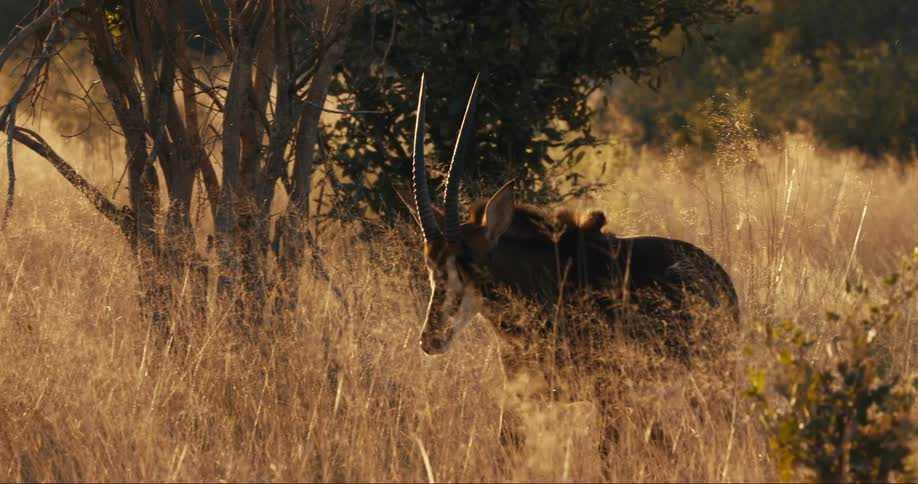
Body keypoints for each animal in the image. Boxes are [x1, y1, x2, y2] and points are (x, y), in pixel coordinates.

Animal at [404, 73, 739, 458]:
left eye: (469, 265)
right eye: (430, 267)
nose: (431, 338)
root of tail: (718, 275)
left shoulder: (608, 393)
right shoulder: (522, 397)